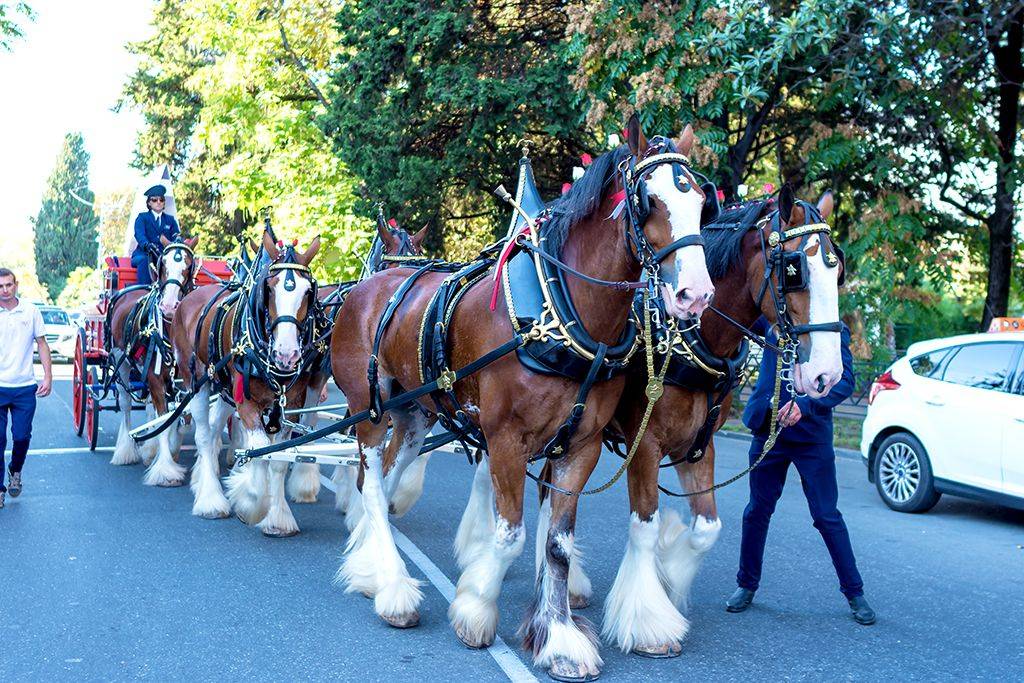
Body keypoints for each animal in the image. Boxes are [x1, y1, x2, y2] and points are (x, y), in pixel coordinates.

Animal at [110, 237, 197, 489]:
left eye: (189, 265)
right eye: (162, 265)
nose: (169, 306)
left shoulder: (184, 381)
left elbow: (178, 418)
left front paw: (168, 452)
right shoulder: (156, 379)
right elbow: (164, 419)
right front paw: (166, 470)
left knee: (149, 406)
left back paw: (149, 450)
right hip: (121, 361)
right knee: (126, 404)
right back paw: (125, 451)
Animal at [168, 231, 319, 528]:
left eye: (308, 292)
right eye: (270, 289)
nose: (287, 354)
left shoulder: (292, 405)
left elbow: (279, 457)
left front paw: (278, 518)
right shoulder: (247, 403)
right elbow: (259, 450)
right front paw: (251, 501)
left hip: (224, 388)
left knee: (215, 426)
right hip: (197, 381)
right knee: (204, 435)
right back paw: (210, 499)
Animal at [331, 114, 716, 679]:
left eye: (703, 203)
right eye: (650, 201)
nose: (696, 294)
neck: (561, 310)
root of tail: (369, 288)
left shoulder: (581, 445)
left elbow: (557, 545)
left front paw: (558, 640)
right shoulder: (506, 439)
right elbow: (509, 535)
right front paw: (475, 606)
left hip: (414, 411)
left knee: (381, 476)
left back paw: (369, 563)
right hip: (369, 410)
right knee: (375, 487)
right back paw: (393, 588)